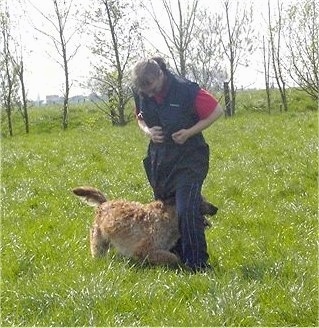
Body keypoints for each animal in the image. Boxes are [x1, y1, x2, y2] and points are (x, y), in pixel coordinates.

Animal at [72, 186, 218, 266]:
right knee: (97, 252)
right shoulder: (144, 249)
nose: (216, 208)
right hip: (98, 241)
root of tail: (104, 203)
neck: (169, 218)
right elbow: (172, 257)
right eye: (199, 200)